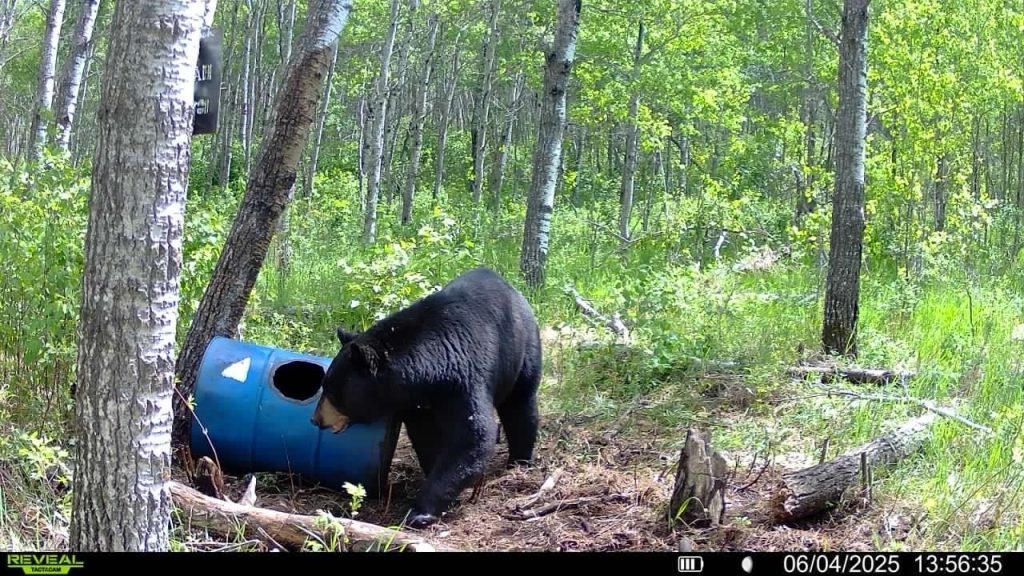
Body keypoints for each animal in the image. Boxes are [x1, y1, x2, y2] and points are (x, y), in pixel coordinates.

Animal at [310, 266, 543, 528]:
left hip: (521, 348)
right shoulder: (416, 401)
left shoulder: (464, 379)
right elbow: (426, 436)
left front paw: (420, 512)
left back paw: (520, 460)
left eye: (331, 391)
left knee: (520, 404)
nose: (316, 419)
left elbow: (472, 437)